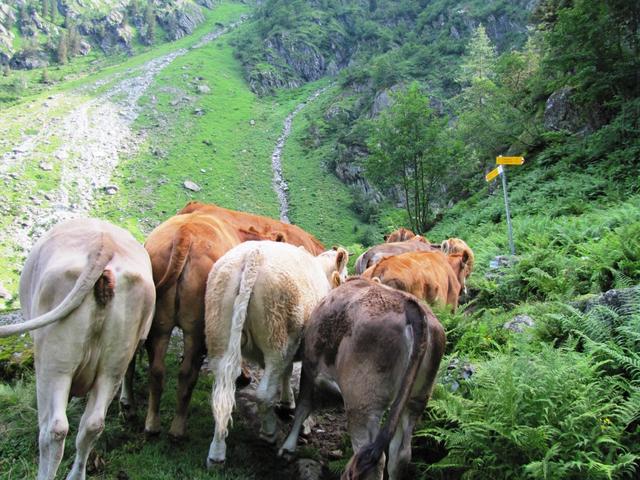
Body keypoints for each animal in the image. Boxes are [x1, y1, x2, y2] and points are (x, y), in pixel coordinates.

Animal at [204, 242, 348, 466]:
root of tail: (253, 255)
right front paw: (303, 421)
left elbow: (286, 372)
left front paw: (287, 400)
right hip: (278, 337)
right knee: (263, 393)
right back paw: (269, 431)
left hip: (220, 335)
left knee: (222, 391)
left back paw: (217, 452)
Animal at [278, 278, 448, 480]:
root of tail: (411, 307)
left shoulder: (309, 365)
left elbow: (303, 407)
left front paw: (287, 447)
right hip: (417, 398)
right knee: (400, 454)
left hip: (362, 402)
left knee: (372, 458)